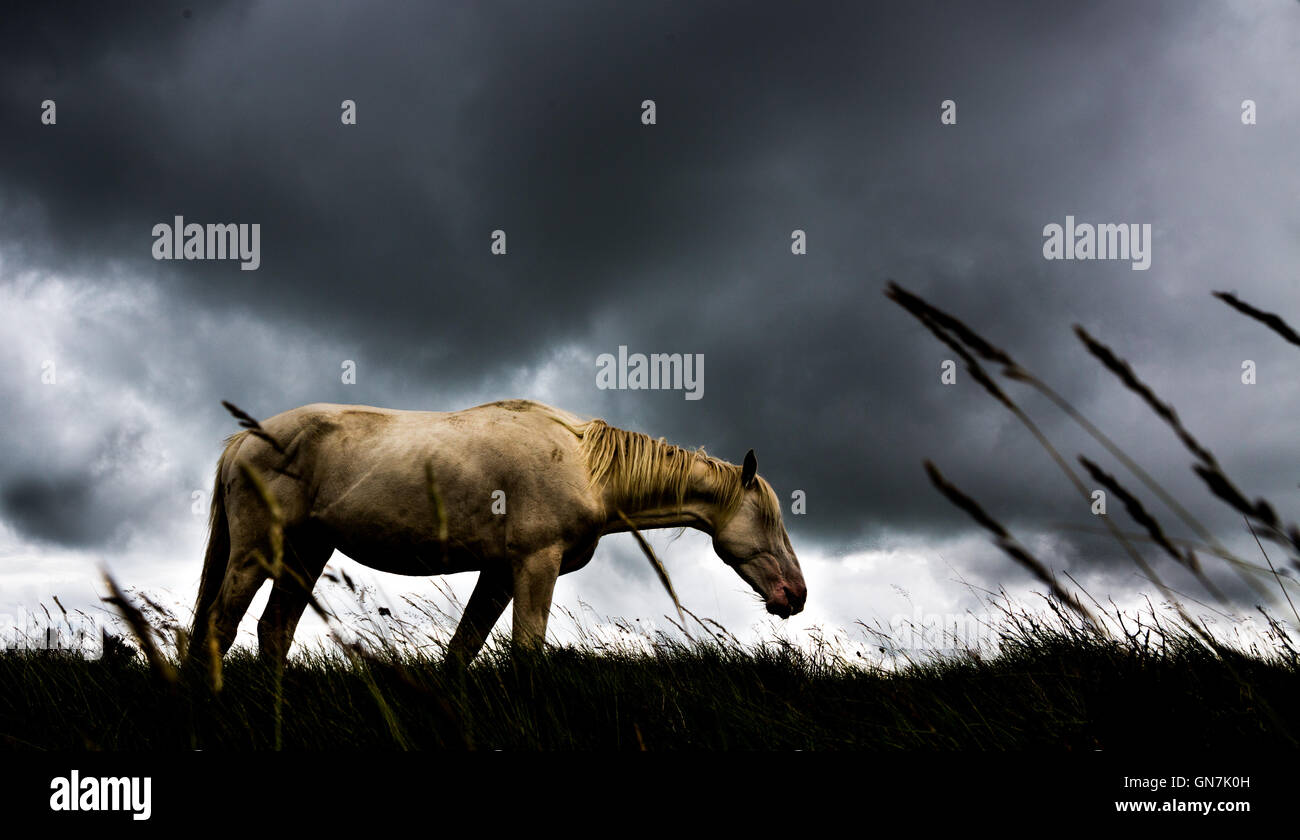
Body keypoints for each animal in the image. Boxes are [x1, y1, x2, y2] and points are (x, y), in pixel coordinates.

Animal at [189, 397, 800, 665]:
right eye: (770, 519)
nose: (795, 594)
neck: (587, 468)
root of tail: (243, 441)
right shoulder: (535, 564)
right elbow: (524, 653)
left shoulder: (499, 574)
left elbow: (462, 651)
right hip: (254, 552)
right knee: (221, 625)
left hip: (306, 552)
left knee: (274, 629)